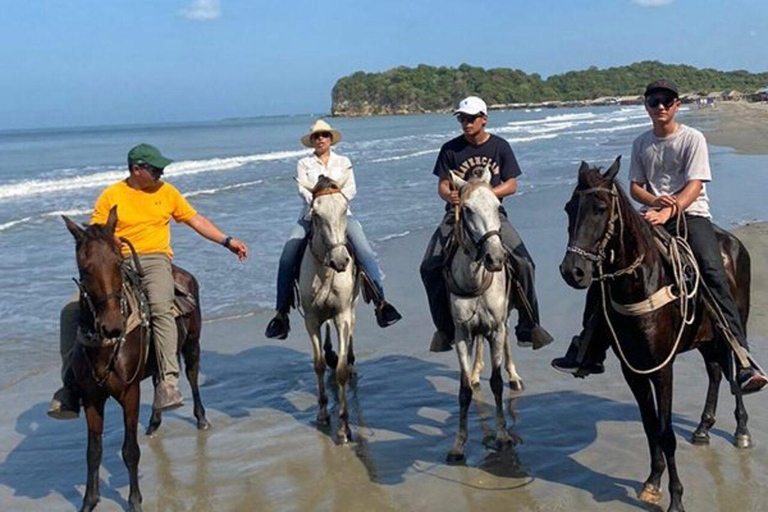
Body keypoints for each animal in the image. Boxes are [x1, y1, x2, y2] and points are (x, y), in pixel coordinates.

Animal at [63, 207, 210, 512]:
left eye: (118, 262)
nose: (111, 326)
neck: (106, 347)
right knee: (158, 381)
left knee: (192, 376)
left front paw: (134, 501)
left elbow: (130, 451)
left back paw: (201, 418)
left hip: (192, 344)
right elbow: (93, 452)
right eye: (85, 268)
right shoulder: (92, 398)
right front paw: (89, 501)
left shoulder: (129, 393)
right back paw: (155, 419)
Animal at [444, 169, 520, 464]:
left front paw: (503, 435)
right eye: (466, 209)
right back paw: (476, 372)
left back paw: (514, 375)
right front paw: (458, 445)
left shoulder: (496, 327)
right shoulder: (461, 334)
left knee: (508, 340)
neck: (474, 280)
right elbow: (464, 391)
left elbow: (497, 384)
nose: (495, 259)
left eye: (498, 207)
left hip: (504, 320)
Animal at [560, 158, 752, 512]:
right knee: (715, 371)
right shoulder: (633, 369)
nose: (573, 271)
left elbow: (666, 432)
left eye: (600, 208)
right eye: (569, 208)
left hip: (732, 326)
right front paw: (652, 482)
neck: (640, 283)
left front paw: (676, 498)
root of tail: (734, 244)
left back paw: (742, 428)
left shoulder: (663, 368)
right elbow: (651, 427)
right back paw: (703, 426)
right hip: (705, 338)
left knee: (735, 369)